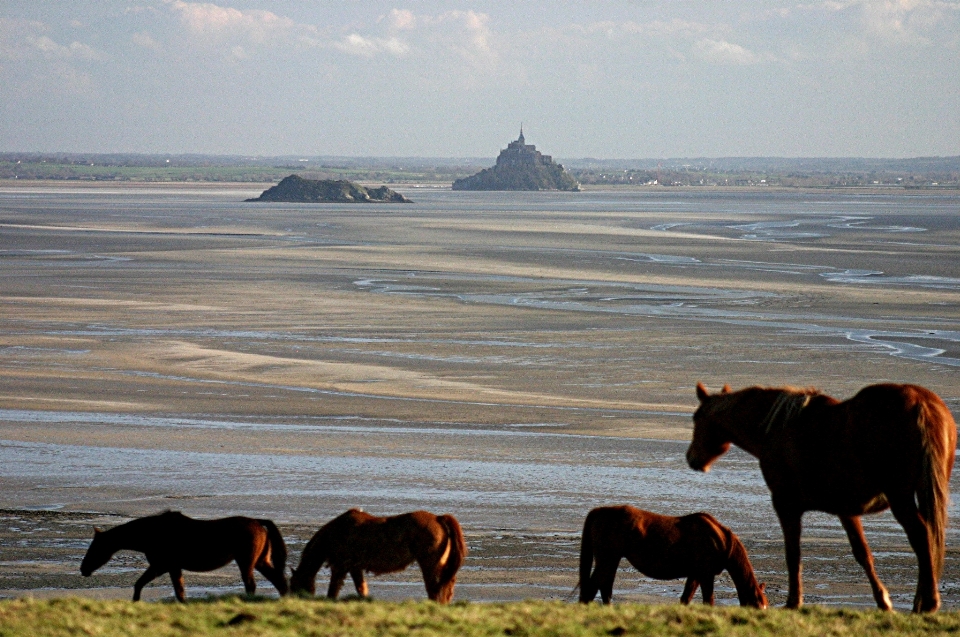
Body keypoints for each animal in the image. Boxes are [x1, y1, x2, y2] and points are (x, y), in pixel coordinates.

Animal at [78, 510, 288, 600]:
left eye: (95, 548)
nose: (83, 569)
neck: (151, 533)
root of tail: (259, 522)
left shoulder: (161, 566)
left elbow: (140, 585)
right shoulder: (172, 567)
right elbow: (179, 591)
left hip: (246, 562)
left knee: (252, 585)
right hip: (261, 561)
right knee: (280, 582)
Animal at [290, 506, 466, 600]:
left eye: (294, 584)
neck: (337, 532)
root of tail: (438, 518)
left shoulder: (340, 567)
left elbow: (333, 591)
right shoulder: (354, 568)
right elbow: (361, 589)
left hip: (430, 564)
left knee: (435, 588)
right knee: (446, 585)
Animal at [576, 506, 764, 608]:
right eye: (759, 605)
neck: (720, 539)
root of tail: (599, 511)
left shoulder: (695, 574)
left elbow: (686, 598)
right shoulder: (705, 574)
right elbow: (708, 600)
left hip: (610, 560)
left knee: (604, 588)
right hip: (607, 560)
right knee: (592, 589)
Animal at [688, 382, 956, 612]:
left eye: (697, 419)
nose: (691, 458)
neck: (777, 429)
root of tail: (921, 403)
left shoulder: (786, 505)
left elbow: (793, 554)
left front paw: (794, 601)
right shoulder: (845, 510)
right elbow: (863, 554)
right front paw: (883, 601)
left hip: (900, 498)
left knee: (921, 536)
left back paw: (928, 602)